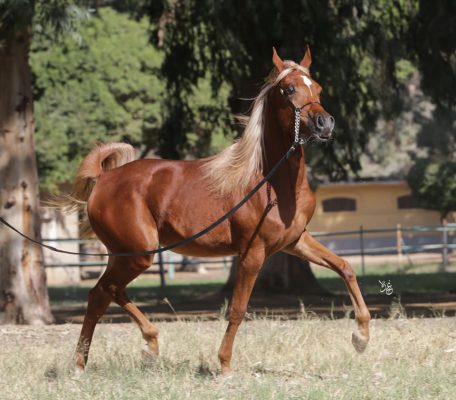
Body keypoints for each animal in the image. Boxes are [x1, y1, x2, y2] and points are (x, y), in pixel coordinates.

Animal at [68, 47, 370, 376]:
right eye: (289, 89)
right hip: (138, 254)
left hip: (126, 255)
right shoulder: (253, 253)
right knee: (102, 292)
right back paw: (91, 361)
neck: (269, 182)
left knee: (106, 292)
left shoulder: (294, 241)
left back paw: (139, 348)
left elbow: (345, 267)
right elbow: (237, 309)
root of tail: (104, 178)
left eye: (317, 88)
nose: (324, 124)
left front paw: (361, 337)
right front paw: (224, 365)